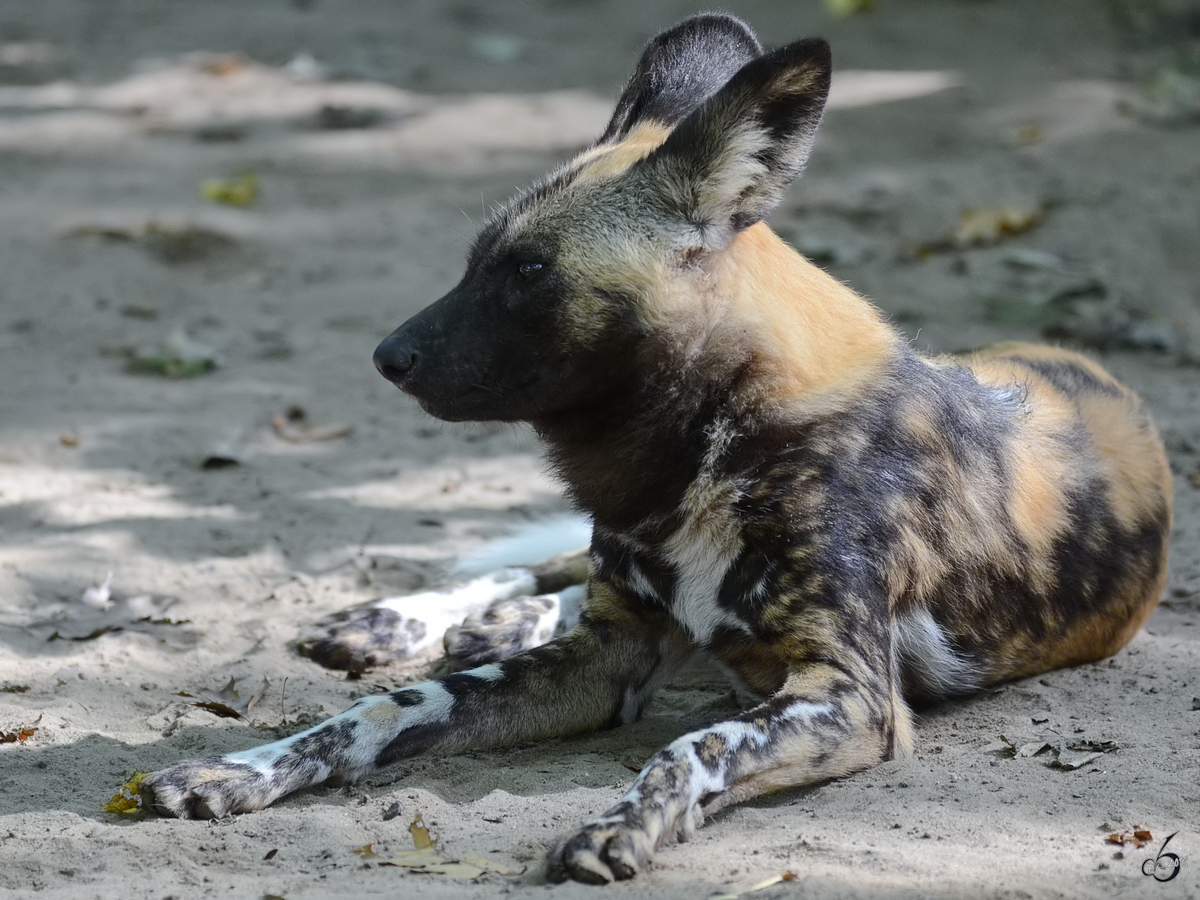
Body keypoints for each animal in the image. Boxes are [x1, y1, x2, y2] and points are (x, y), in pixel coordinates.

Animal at [140, 14, 1171, 888]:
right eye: (478, 261)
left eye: (528, 270)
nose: (388, 357)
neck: (711, 451)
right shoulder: (611, 657)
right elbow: (386, 708)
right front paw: (242, 769)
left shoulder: (851, 696)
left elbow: (693, 746)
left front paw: (618, 828)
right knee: (541, 569)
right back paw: (413, 619)